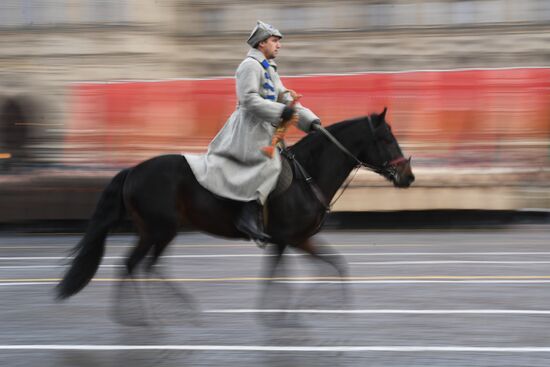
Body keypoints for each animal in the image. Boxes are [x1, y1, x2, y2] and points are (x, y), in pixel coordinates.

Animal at [58, 108, 416, 310]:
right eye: (386, 139)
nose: (408, 176)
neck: (308, 173)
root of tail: (133, 170)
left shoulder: (295, 240)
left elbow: (331, 266)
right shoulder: (287, 239)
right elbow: (284, 278)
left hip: (155, 232)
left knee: (138, 266)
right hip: (161, 230)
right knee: (137, 266)